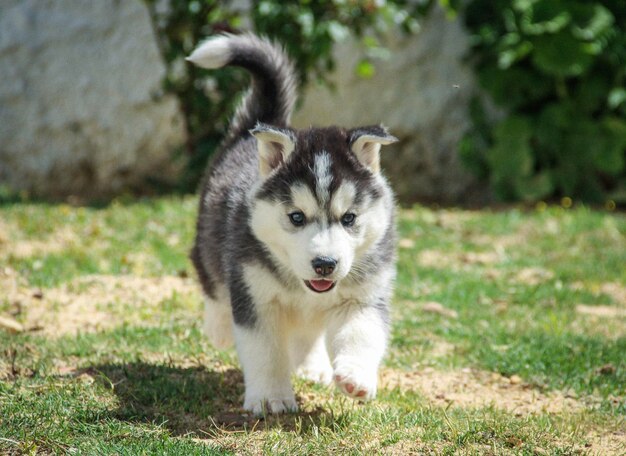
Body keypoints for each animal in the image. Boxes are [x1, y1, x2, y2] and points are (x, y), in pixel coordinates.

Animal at [188, 33, 398, 416]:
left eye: (349, 218)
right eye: (296, 217)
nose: (325, 264)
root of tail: (247, 135)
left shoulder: (364, 295)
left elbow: (362, 332)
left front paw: (356, 377)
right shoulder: (255, 296)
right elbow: (266, 351)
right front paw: (271, 397)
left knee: (306, 331)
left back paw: (313, 366)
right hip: (208, 238)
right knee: (210, 279)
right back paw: (219, 328)